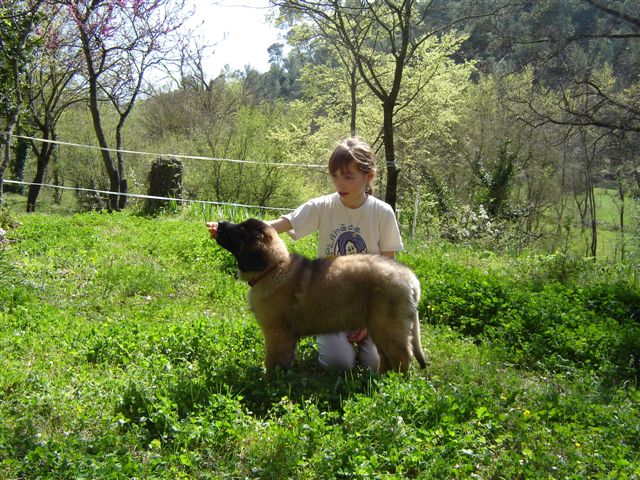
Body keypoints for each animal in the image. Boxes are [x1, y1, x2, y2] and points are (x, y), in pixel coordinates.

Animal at [211, 218, 426, 374]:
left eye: (241, 230)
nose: (219, 223)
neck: (274, 269)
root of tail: (411, 279)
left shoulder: (276, 332)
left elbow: (273, 361)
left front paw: (270, 380)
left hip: (387, 326)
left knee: (402, 357)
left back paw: (394, 386)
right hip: (379, 327)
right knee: (387, 357)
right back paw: (380, 379)